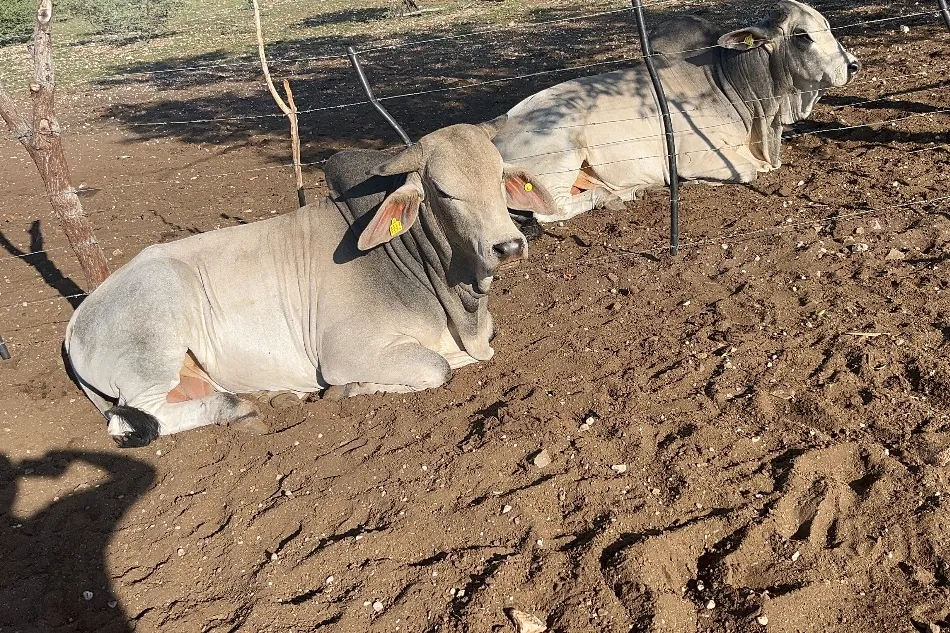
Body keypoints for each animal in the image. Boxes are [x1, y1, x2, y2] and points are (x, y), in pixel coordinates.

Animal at [64, 119, 555, 447]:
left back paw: (275, 395)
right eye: (444, 191)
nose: (509, 246)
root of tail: (78, 318)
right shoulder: (347, 353)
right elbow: (438, 369)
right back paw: (239, 409)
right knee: (139, 415)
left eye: (500, 178)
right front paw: (352, 389)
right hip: (152, 349)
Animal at [493, 0, 861, 222]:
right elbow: (748, 173)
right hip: (560, 154)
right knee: (551, 211)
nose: (852, 65)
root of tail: (492, 136)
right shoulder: (696, 157)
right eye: (802, 35)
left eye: (828, 25)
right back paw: (613, 197)